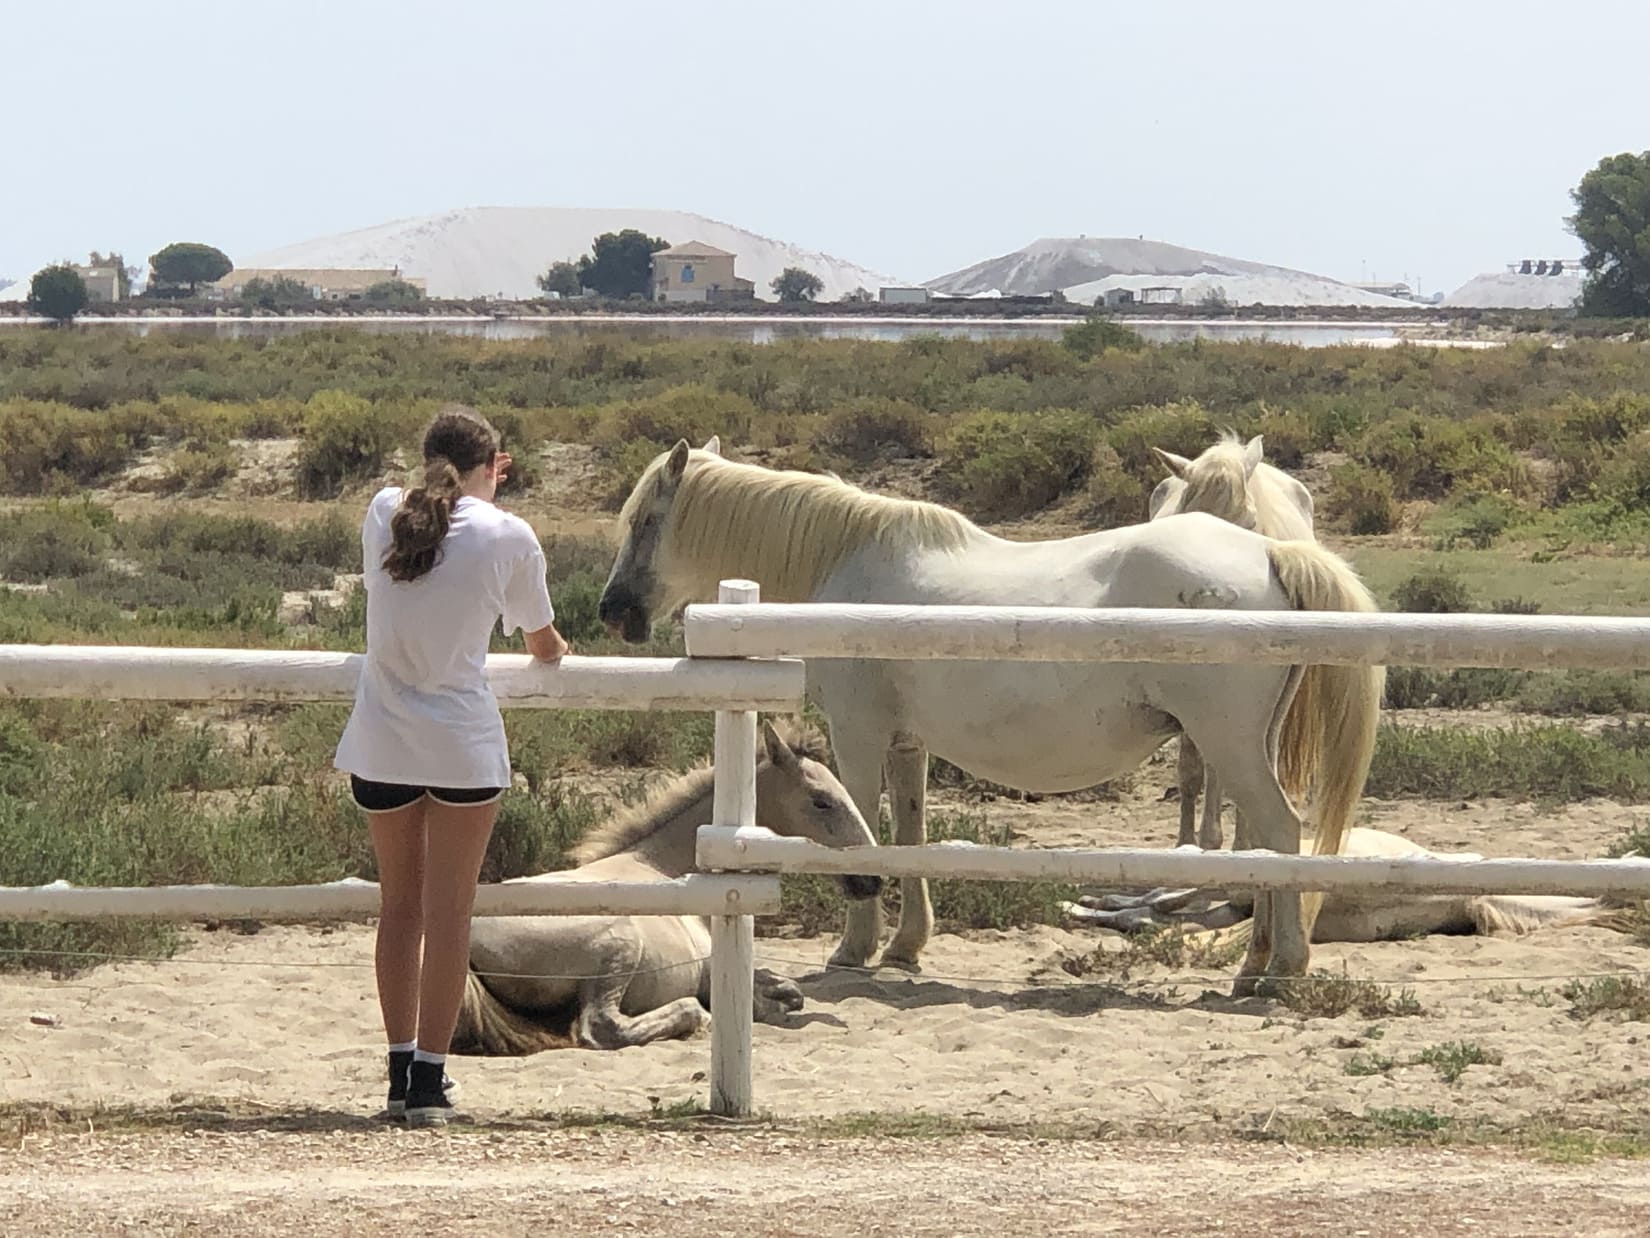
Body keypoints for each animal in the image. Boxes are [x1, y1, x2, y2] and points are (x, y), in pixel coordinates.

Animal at [455, 722, 877, 1063]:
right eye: (822, 801)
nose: (871, 880)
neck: (674, 870)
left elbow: (789, 987)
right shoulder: (711, 974)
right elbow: (765, 1005)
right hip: (619, 942)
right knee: (603, 1026)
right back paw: (695, 1016)